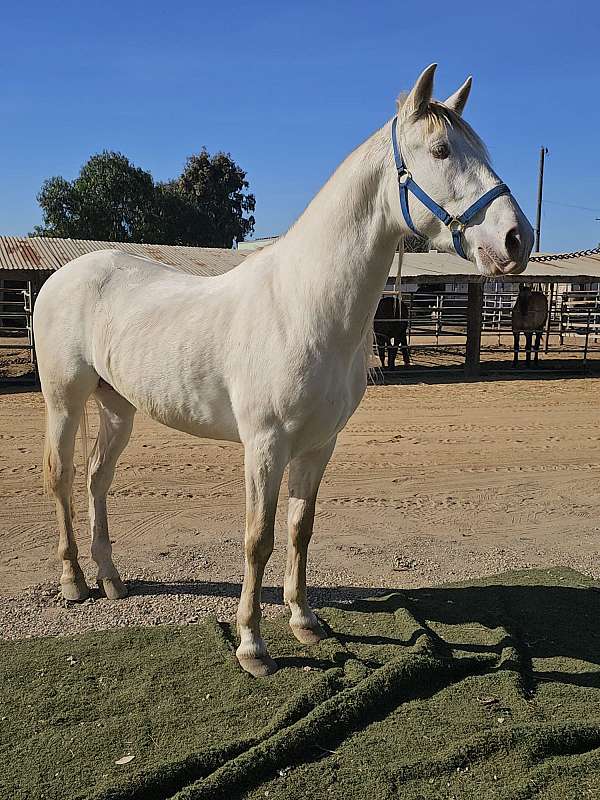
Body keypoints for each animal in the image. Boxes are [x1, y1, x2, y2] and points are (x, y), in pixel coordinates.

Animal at [32, 64, 532, 676]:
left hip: (118, 408)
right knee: (61, 478)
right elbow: (259, 539)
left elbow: (300, 530)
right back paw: (75, 582)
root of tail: (65, 274)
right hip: (65, 400)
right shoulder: (265, 445)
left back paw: (112, 581)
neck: (303, 303)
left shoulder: (318, 446)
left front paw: (304, 620)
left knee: (97, 481)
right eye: (440, 149)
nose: (517, 238)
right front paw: (252, 645)